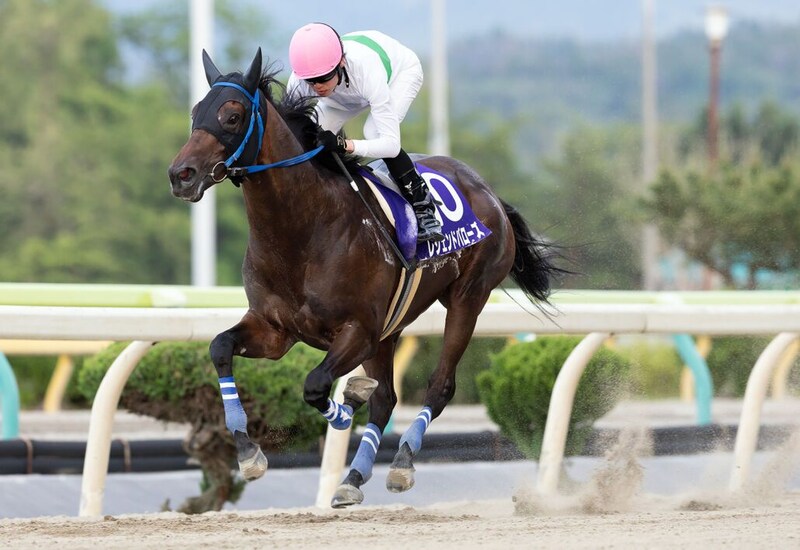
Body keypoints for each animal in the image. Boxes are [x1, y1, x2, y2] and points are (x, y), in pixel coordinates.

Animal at [168, 48, 563, 508]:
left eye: (232, 116)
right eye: (196, 112)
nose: (181, 174)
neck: (302, 232)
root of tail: (487, 190)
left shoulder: (359, 330)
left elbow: (316, 386)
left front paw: (348, 401)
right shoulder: (275, 330)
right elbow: (219, 347)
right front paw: (249, 452)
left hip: (468, 297)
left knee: (440, 386)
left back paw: (402, 463)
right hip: (394, 324)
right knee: (387, 399)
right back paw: (353, 478)